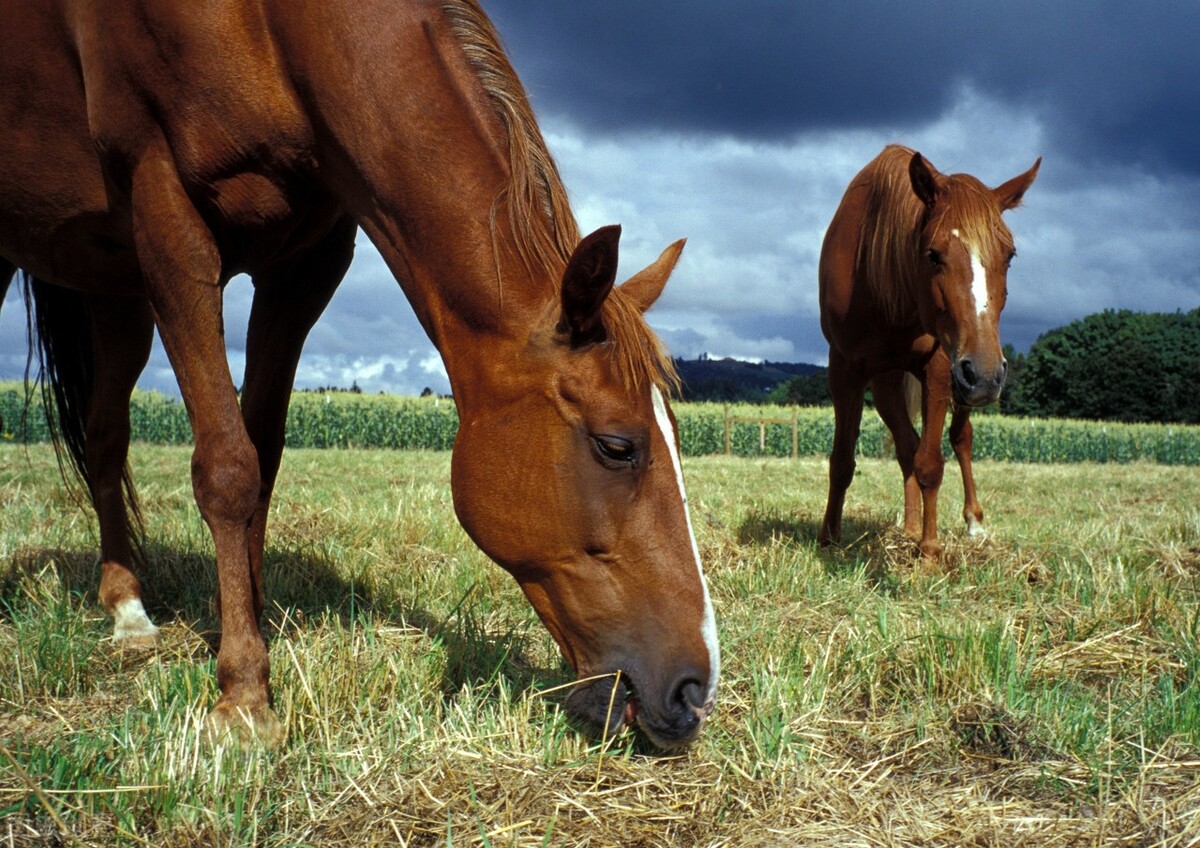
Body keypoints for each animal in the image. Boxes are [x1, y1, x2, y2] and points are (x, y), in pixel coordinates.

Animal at [0, 0, 718, 749]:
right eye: (617, 446)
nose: (694, 690)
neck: (275, 32)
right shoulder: (168, 220)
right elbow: (227, 468)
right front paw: (243, 694)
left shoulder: (305, 265)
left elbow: (262, 456)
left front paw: (249, 619)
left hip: (113, 292)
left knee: (104, 436)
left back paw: (126, 605)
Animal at [817, 145, 1040, 564]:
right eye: (933, 255)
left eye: (1010, 255)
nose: (986, 375)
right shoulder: (844, 369)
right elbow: (842, 461)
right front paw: (828, 538)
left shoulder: (940, 368)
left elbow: (931, 463)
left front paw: (931, 551)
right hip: (897, 383)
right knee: (907, 445)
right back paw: (908, 527)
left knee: (960, 438)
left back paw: (972, 522)